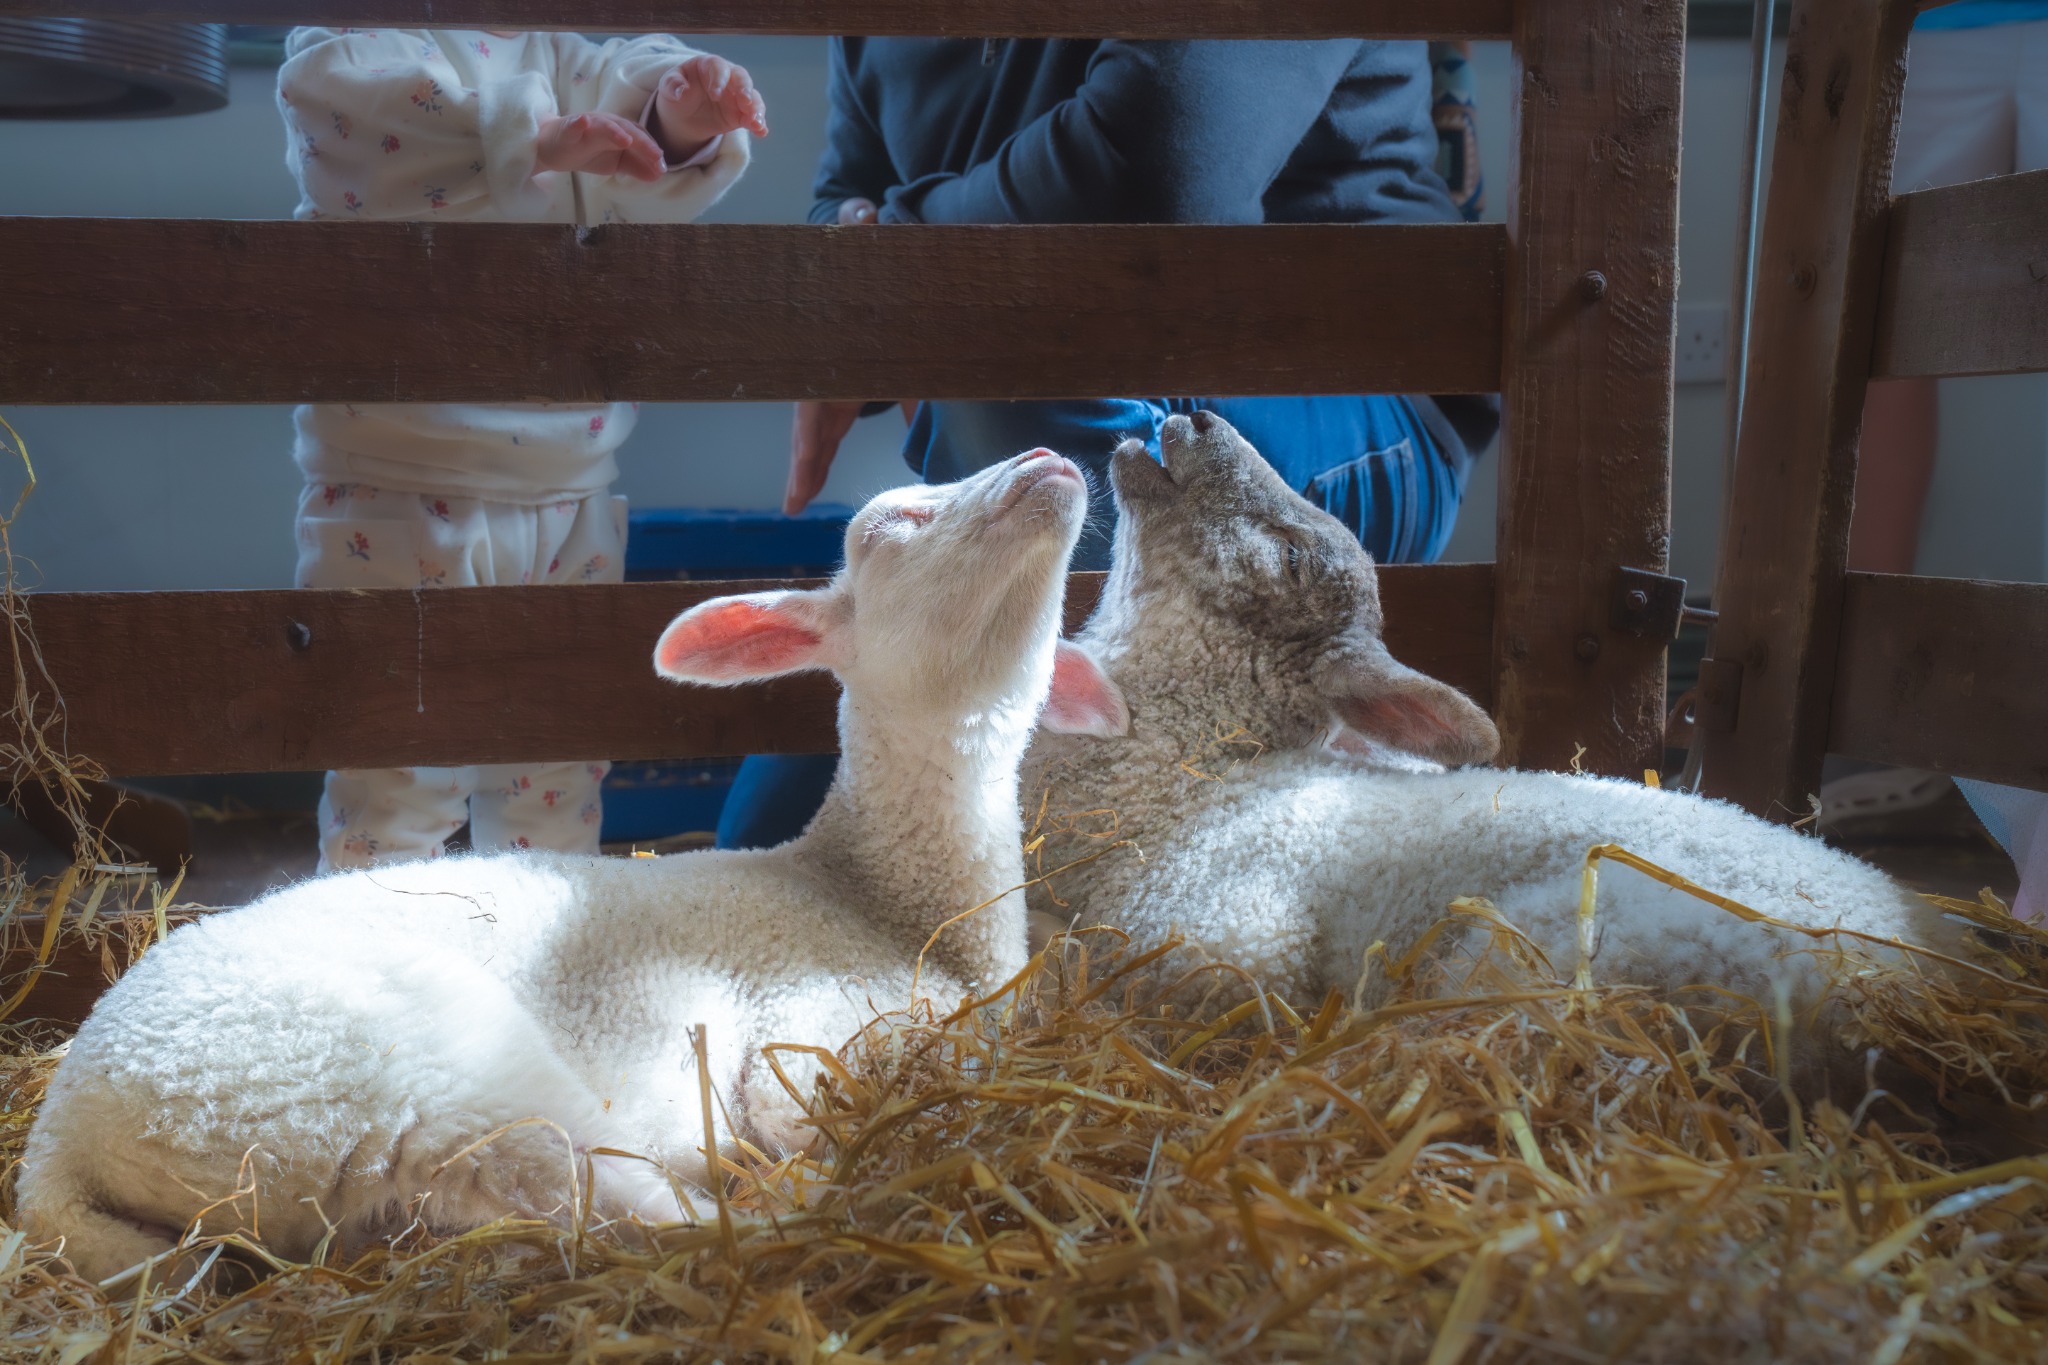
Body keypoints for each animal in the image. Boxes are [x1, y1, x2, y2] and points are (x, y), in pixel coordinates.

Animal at [19, 449, 1124, 1285]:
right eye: (890, 523)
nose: (1050, 459)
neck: (883, 898)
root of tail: (58, 1144)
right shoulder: (805, 1035)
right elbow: (788, 1111)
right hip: (423, 1086)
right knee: (613, 1203)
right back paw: (780, 1206)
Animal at [1023, 411, 1994, 1129]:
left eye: (1289, 558)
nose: (1194, 418)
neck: (1187, 770)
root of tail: (1924, 1000)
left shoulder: (1227, 940)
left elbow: (1087, 957)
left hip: (1545, 952)